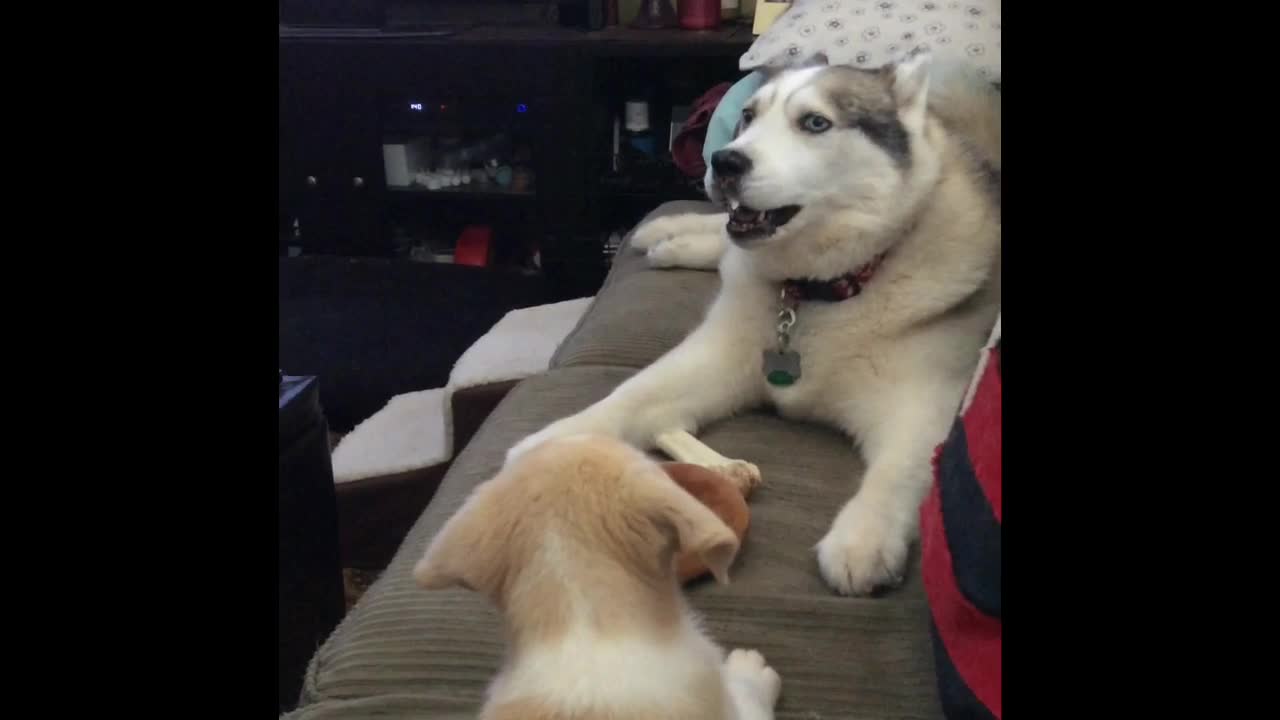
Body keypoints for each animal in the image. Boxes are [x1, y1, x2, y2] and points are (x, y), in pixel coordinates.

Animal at [509, 53, 998, 594]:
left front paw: (864, 537)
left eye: (815, 123)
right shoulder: (717, 356)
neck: (817, 292)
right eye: (748, 116)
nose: (724, 161)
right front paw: (556, 443)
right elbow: (628, 395)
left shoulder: (925, 402)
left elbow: (902, 469)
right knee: (718, 239)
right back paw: (667, 236)